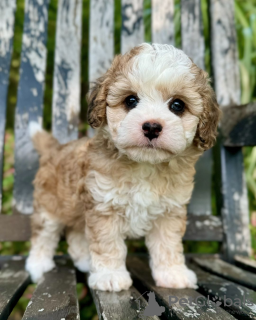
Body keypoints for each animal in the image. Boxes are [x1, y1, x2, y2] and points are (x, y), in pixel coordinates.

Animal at [27, 43, 221, 292]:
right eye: (130, 100)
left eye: (177, 105)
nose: (151, 127)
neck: (145, 166)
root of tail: (56, 148)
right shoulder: (103, 206)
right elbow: (108, 244)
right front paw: (109, 276)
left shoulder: (169, 211)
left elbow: (168, 245)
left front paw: (172, 274)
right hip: (49, 205)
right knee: (44, 234)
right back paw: (38, 265)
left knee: (75, 232)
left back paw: (83, 260)